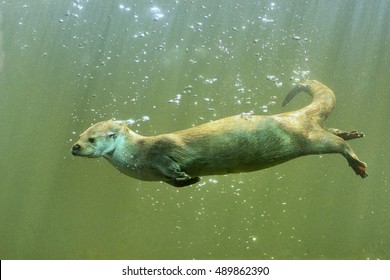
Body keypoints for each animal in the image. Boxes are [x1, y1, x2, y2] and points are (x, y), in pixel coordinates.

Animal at [71, 80, 368, 187]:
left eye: (91, 139)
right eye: (79, 135)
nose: (75, 147)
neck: (136, 156)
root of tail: (294, 115)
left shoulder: (159, 153)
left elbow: (169, 164)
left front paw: (183, 174)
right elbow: (172, 182)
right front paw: (189, 180)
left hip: (307, 140)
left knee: (335, 143)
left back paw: (357, 162)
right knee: (332, 131)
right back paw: (351, 133)